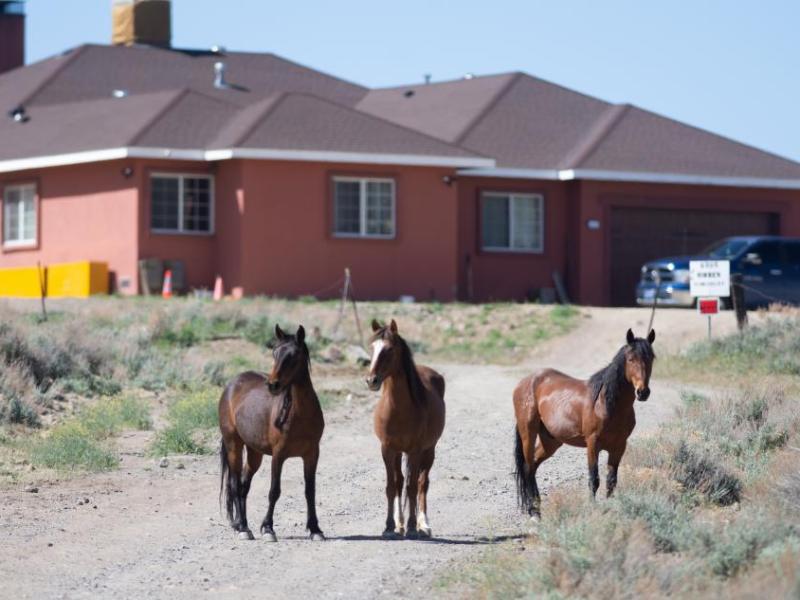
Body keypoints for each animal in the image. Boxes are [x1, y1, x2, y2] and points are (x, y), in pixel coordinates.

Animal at [218, 324, 325, 541]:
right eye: (274, 352)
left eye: (293, 356)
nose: (273, 384)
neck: (300, 414)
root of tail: (232, 384)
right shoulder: (279, 455)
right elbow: (274, 490)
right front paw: (268, 528)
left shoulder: (312, 455)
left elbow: (310, 491)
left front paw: (315, 529)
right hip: (234, 445)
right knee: (235, 484)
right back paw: (243, 529)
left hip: (254, 453)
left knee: (243, 485)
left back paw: (242, 524)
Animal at [366, 319, 446, 539]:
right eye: (372, 348)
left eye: (389, 349)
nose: (372, 380)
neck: (398, 410)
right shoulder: (387, 449)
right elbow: (392, 486)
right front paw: (389, 527)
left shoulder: (415, 450)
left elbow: (412, 487)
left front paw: (411, 527)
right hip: (399, 453)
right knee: (400, 481)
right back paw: (400, 523)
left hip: (429, 450)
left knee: (422, 484)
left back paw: (423, 524)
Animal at [513, 328, 656, 520]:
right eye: (631, 358)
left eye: (651, 358)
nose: (643, 392)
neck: (606, 403)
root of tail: (525, 382)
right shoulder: (592, 444)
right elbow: (594, 479)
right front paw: (592, 509)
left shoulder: (619, 446)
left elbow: (611, 481)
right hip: (528, 432)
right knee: (528, 467)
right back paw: (534, 513)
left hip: (550, 441)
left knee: (533, 465)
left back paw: (537, 508)